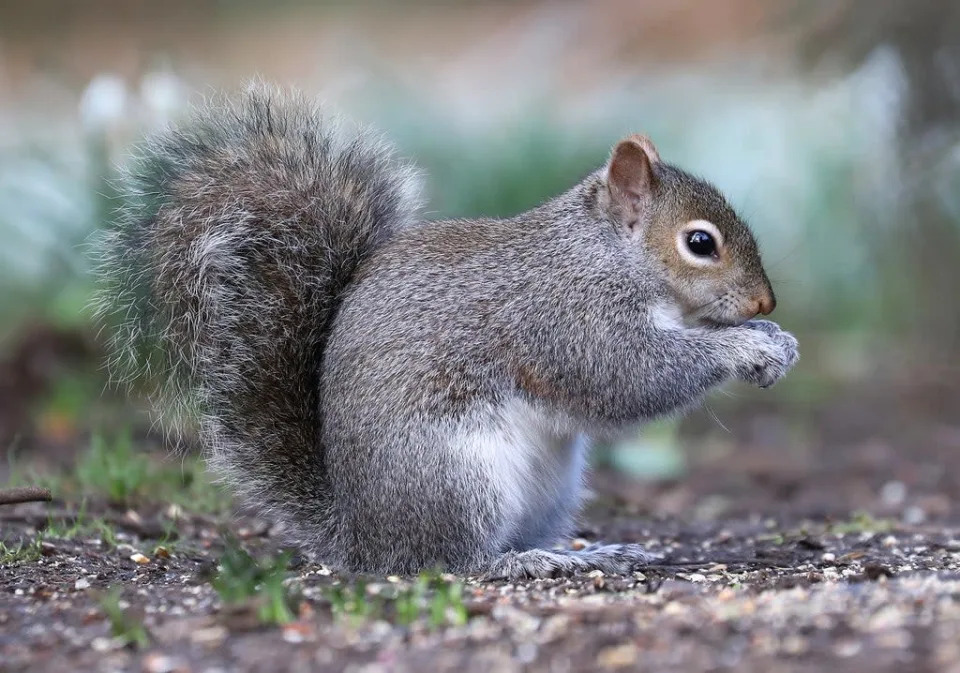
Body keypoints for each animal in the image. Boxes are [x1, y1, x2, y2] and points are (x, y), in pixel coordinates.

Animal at [97, 84, 800, 576]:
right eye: (700, 243)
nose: (765, 300)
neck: (606, 256)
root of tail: (364, 537)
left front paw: (778, 339)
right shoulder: (565, 318)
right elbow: (629, 376)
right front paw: (748, 345)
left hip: (551, 489)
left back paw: (590, 553)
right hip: (456, 476)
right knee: (450, 562)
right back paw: (525, 562)